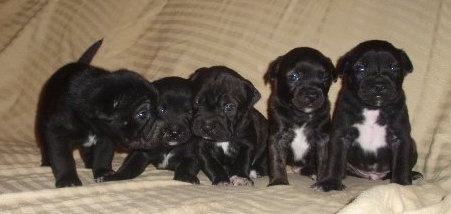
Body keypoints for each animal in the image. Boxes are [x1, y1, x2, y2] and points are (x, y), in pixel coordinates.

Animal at [35, 40, 159, 187]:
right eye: (142, 115)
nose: (160, 123)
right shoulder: (57, 133)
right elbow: (63, 158)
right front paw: (68, 179)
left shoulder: (106, 138)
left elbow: (103, 156)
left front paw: (103, 172)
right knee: (44, 144)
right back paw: (46, 162)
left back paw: (90, 163)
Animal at [264, 47, 340, 186]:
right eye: (294, 76)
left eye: (325, 76)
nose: (312, 94)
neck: (301, 115)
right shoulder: (278, 137)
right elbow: (277, 161)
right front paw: (279, 182)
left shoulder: (323, 138)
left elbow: (324, 161)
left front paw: (323, 181)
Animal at [314, 40, 424, 192]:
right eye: (360, 68)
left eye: (394, 67)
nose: (379, 84)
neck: (373, 108)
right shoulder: (340, 135)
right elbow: (335, 160)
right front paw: (330, 182)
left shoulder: (400, 137)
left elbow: (401, 162)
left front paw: (401, 185)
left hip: (411, 145)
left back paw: (412, 174)